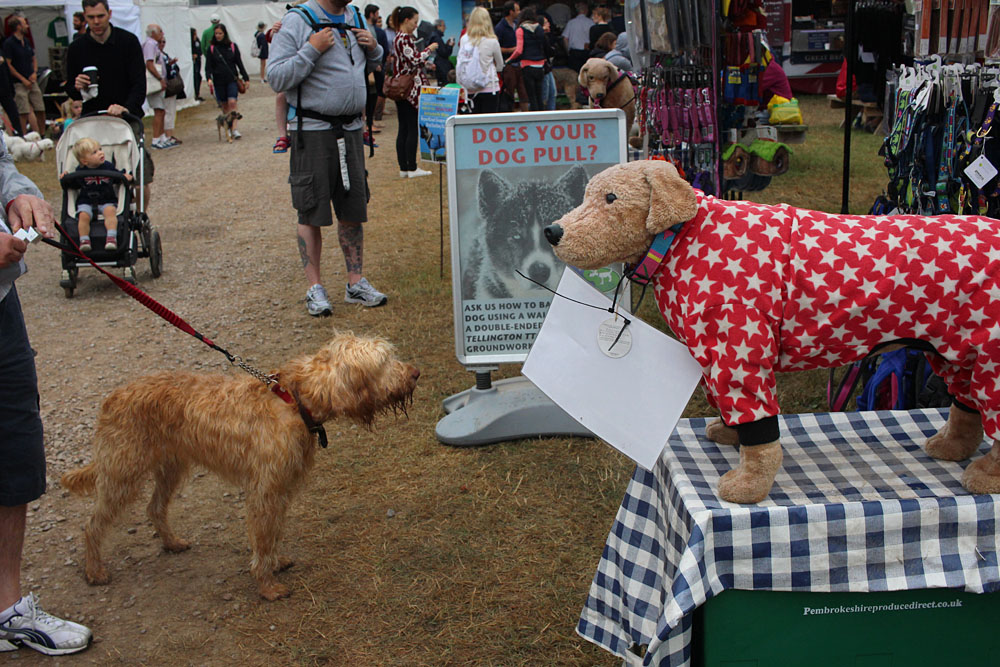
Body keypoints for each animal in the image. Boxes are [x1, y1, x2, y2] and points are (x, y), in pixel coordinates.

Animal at [59, 334, 418, 600]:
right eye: (384, 361)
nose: (415, 373)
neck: (295, 401)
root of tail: (112, 398)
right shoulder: (265, 489)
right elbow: (263, 535)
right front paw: (267, 586)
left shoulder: (280, 489)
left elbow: (273, 532)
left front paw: (276, 562)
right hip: (122, 474)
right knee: (92, 524)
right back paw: (94, 570)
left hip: (170, 468)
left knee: (155, 508)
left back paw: (171, 543)